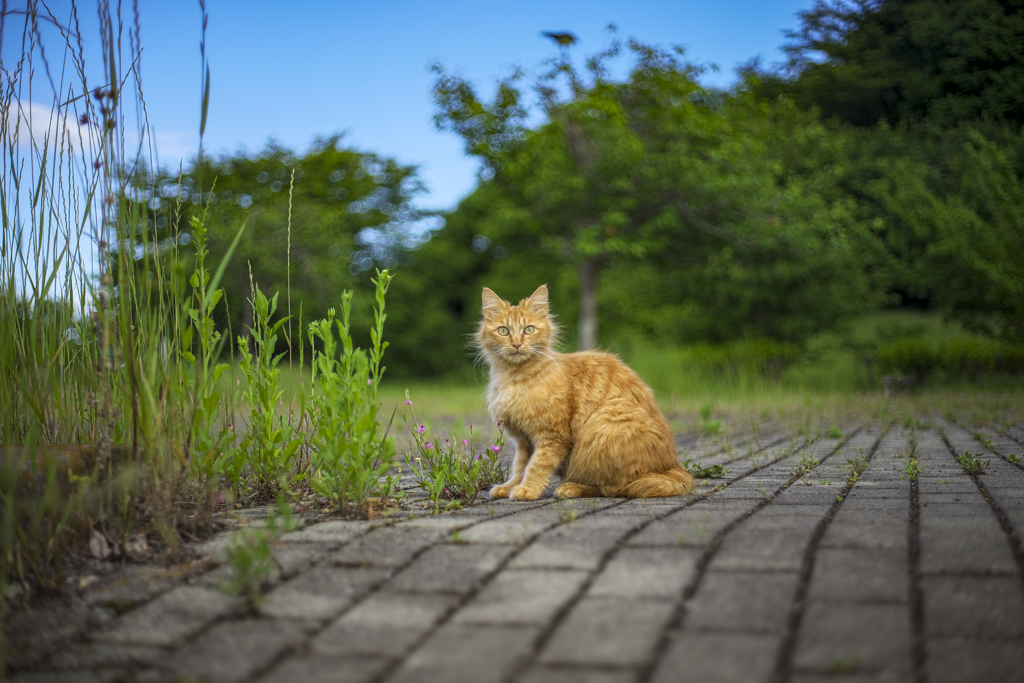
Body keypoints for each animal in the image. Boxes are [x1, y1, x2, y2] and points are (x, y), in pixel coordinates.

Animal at [475, 284, 692, 501]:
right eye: (503, 331)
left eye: (529, 329)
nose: (517, 344)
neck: (513, 378)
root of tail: (673, 465)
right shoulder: (523, 439)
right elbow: (519, 467)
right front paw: (509, 486)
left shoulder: (552, 436)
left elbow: (536, 466)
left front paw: (527, 489)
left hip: (603, 427)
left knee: (612, 487)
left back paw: (570, 488)